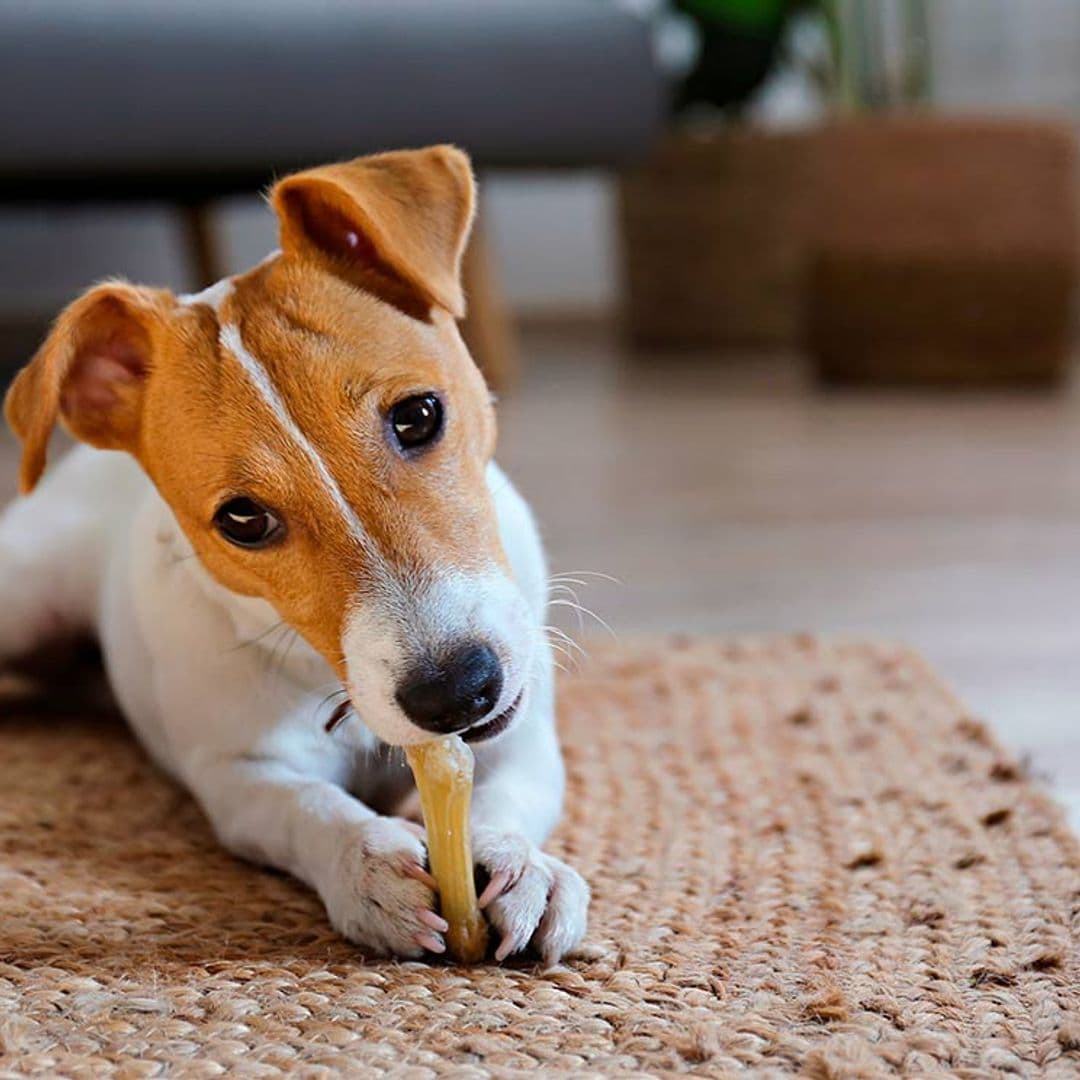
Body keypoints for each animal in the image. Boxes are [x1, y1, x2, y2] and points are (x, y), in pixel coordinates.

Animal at [2, 143, 591, 963]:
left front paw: (524, 867)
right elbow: (306, 806)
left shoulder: (522, 730)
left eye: (419, 415)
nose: (456, 692)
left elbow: (512, 790)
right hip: (25, 596)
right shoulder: (237, 774)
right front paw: (367, 866)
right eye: (244, 519)